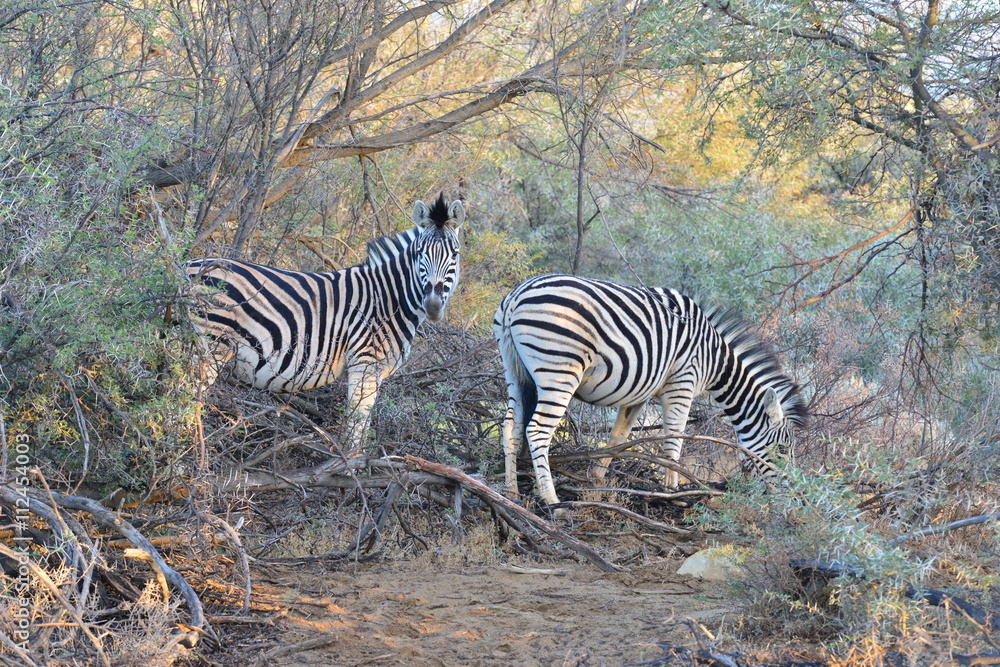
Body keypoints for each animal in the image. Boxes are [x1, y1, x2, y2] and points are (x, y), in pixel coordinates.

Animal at [186, 195, 465, 446]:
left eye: (455, 254)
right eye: (420, 253)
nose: (433, 305)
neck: (389, 298)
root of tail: (189, 263)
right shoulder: (365, 363)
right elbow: (356, 431)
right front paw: (349, 467)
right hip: (212, 342)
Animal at [493, 274, 806, 507]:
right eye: (783, 449)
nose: (792, 497)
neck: (714, 359)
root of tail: (516, 295)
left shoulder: (640, 392)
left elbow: (618, 437)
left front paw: (595, 483)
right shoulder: (682, 383)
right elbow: (673, 442)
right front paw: (674, 493)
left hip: (515, 371)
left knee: (511, 427)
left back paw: (511, 492)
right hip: (559, 370)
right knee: (537, 431)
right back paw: (551, 500)